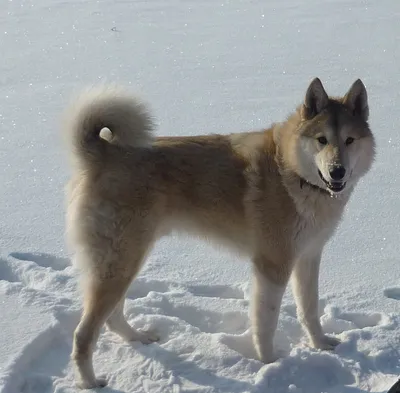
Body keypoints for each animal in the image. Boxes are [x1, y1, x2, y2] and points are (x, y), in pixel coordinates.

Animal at [64, 78, 376, 388]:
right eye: (321, 139)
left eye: (349, 140)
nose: (337, 171)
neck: (293, 172)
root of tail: (106, 152)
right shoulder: (272, 266)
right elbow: (266, 322)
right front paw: (270, 363)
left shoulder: (308, 257)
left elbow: (309, 309)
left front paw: (320, 344)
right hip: (119, 263)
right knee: (83, 334)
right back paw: (90, 382)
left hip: (125, 262)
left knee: (112, 317)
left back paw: (138, 338)